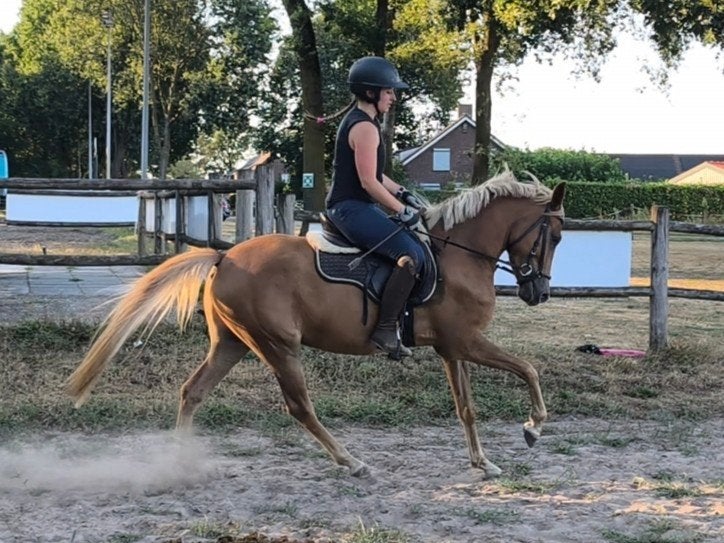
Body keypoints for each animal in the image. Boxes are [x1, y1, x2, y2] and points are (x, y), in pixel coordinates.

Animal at [66, 171, 566, 479]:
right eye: (556, 235)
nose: (539, 293)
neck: (459, 255)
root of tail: (225, 256)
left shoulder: (452, 347)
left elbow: (467, 408)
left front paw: (483, 464)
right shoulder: (466, 341)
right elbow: (528, 369)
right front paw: (533, 427)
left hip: (232, 343)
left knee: (193, 391)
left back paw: (183, 463)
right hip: (278, 345)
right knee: (299, 407)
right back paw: (351, 461)